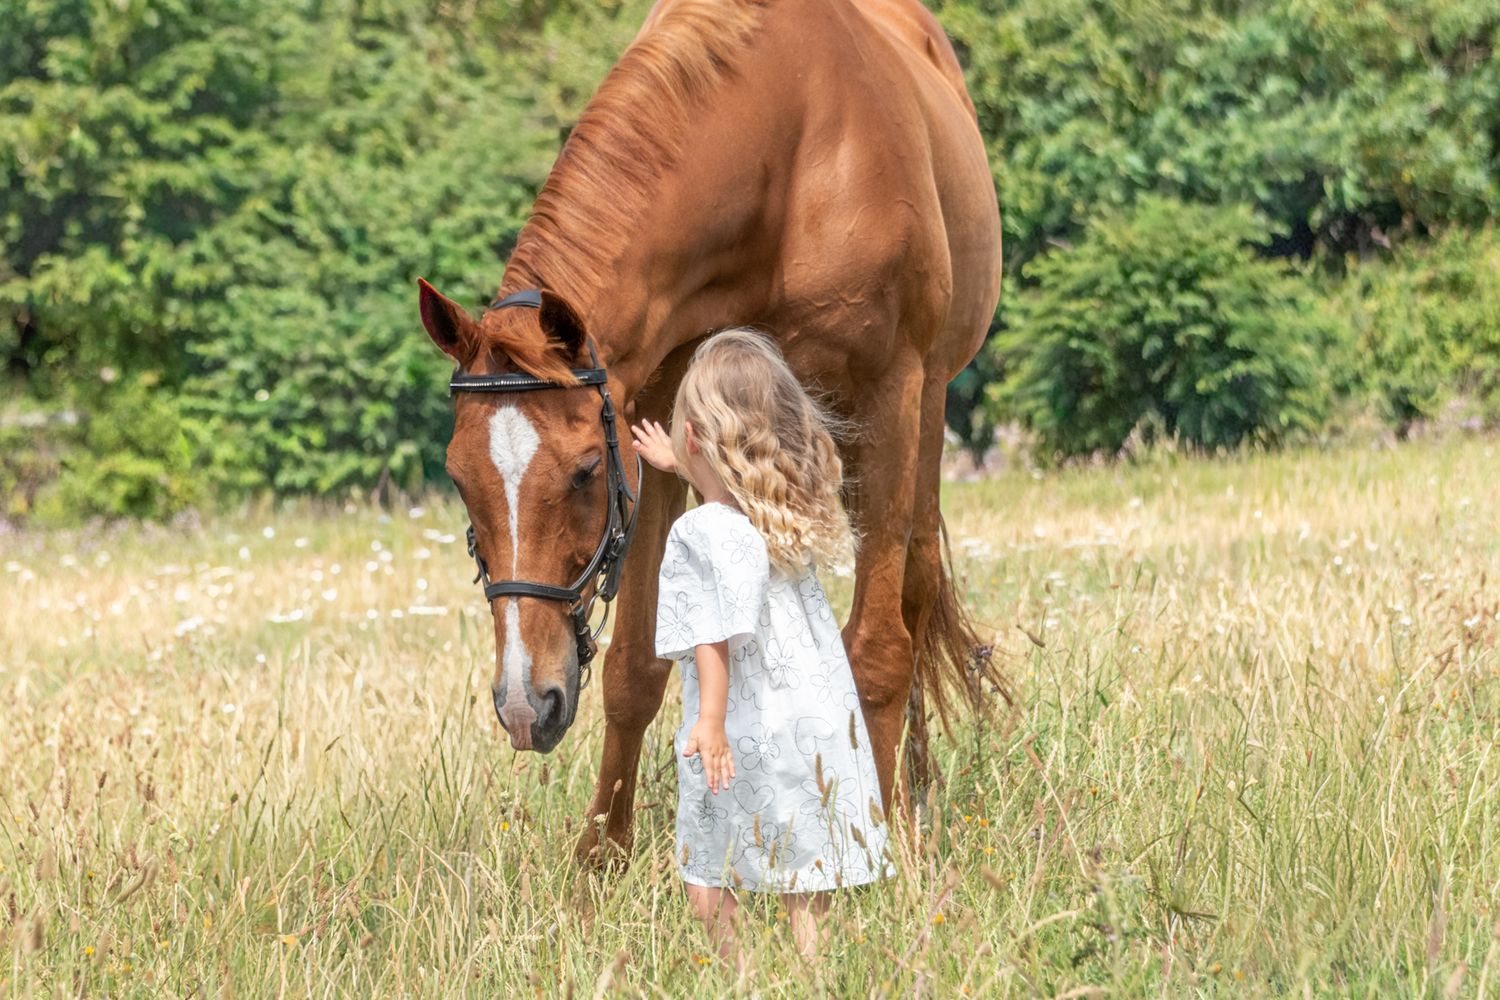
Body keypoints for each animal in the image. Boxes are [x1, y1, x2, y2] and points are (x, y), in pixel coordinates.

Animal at [417, 0, 1001, 863]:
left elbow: (879, 649)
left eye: (585, 471)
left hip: (921, 420)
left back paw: (908, 794)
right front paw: (599, 862)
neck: (785, 159)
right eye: (461, 477)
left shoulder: (890, 397)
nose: (527, 704)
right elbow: (634, 670)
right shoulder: (656, 428)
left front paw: (880, 836)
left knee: (917, 597)